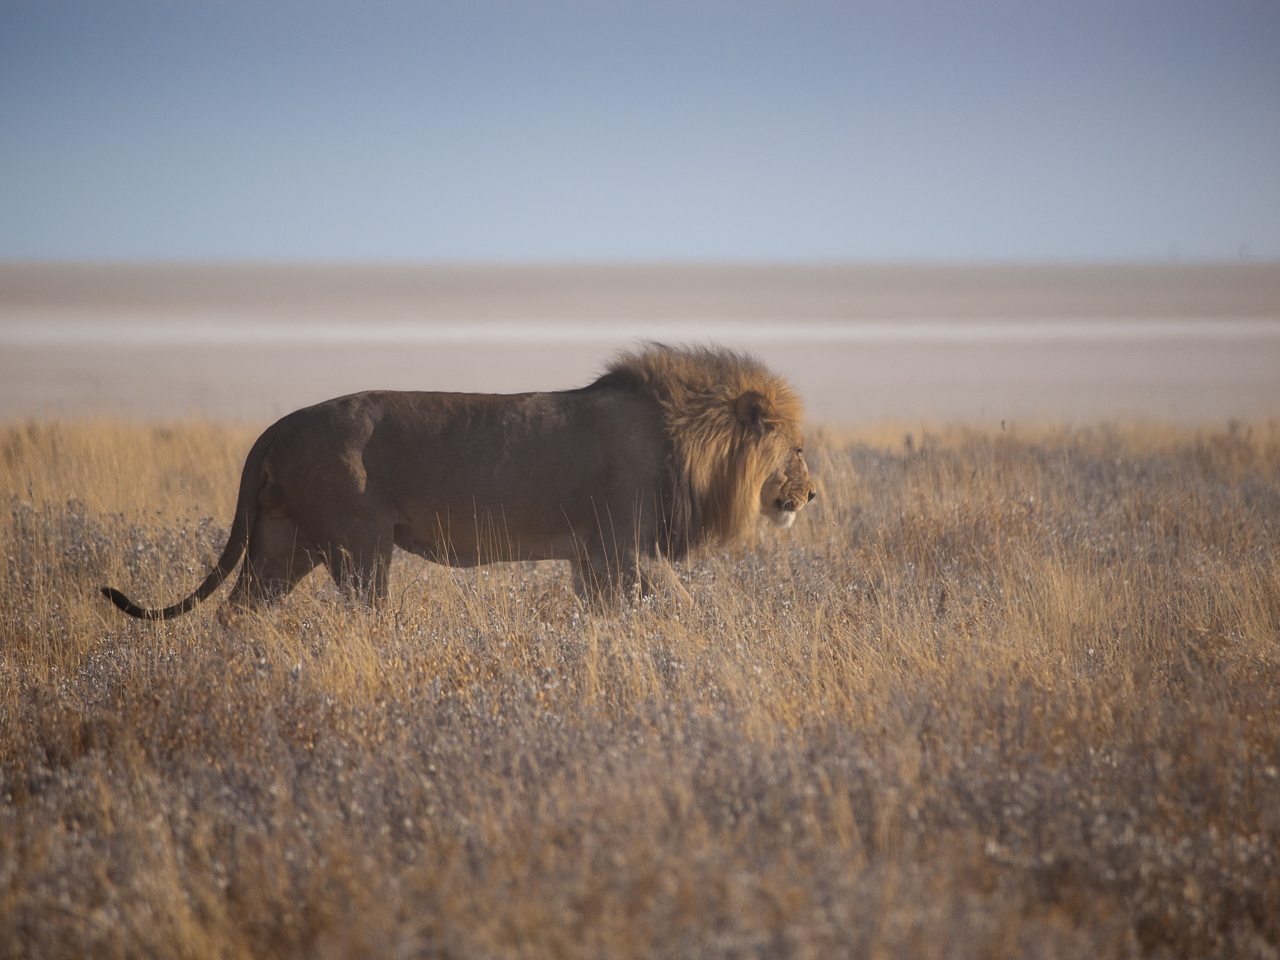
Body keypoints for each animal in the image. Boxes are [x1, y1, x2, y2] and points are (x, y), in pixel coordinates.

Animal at [102, 343, 819, 619]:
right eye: (797, 448)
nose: (813, 495)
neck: (683, 437)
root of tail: (278, 425)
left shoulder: (594, 559)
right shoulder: (628, 549)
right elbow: (687, 605)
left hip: (284, 542)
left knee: (236, 612)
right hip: (359, 546)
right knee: (364, 615)